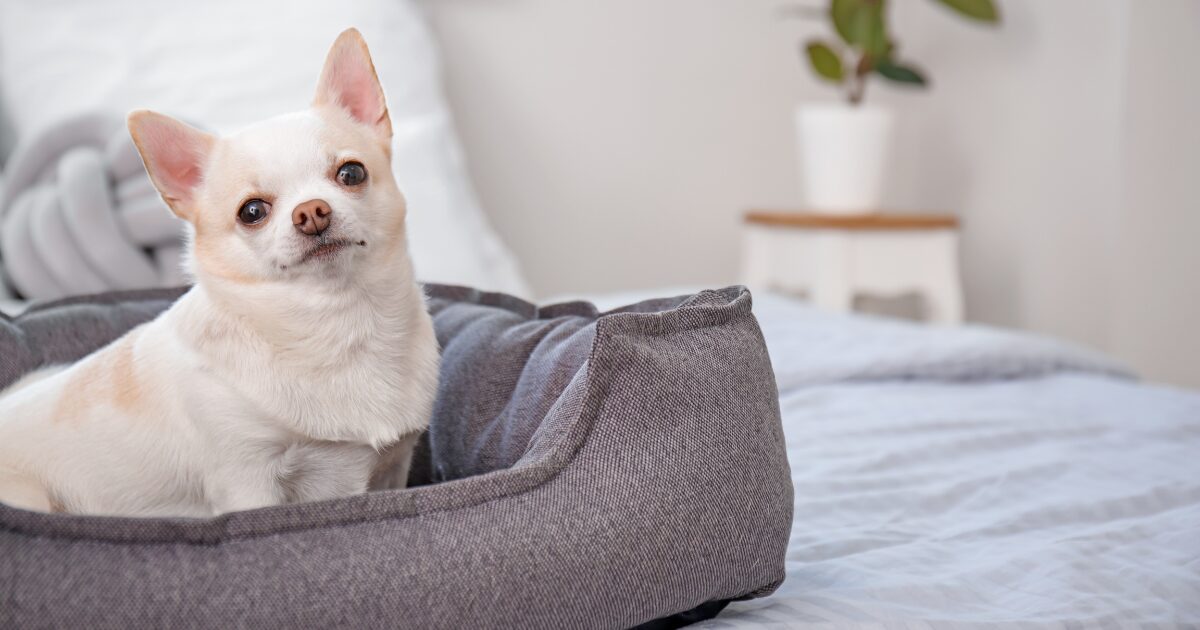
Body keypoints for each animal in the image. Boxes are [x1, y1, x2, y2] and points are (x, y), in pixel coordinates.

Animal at [0, 28, 441, 516]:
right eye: (252, 211)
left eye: (351, 173)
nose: (312, 212)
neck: (334, 323)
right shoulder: (248, 479)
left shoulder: (392, 471)